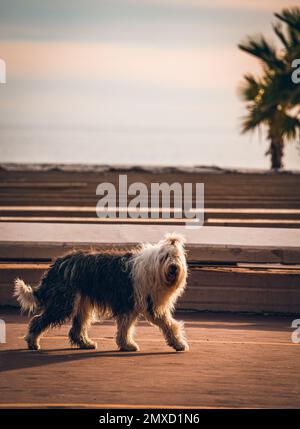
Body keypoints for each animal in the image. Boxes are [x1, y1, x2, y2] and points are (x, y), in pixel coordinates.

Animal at [14, 234, 189, 352]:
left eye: (177, 257)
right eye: (165, 257)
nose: (174, 267)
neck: (153, 270)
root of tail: (59, 263)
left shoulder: (150, 306)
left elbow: (169, 324)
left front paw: (179, 344)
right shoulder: (129, 303)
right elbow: (126, 327)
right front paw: (127, 345)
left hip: (82, 304)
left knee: (77, 329)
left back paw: (86, 343)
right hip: (64, 302)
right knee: (39, 320)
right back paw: (32, 341)